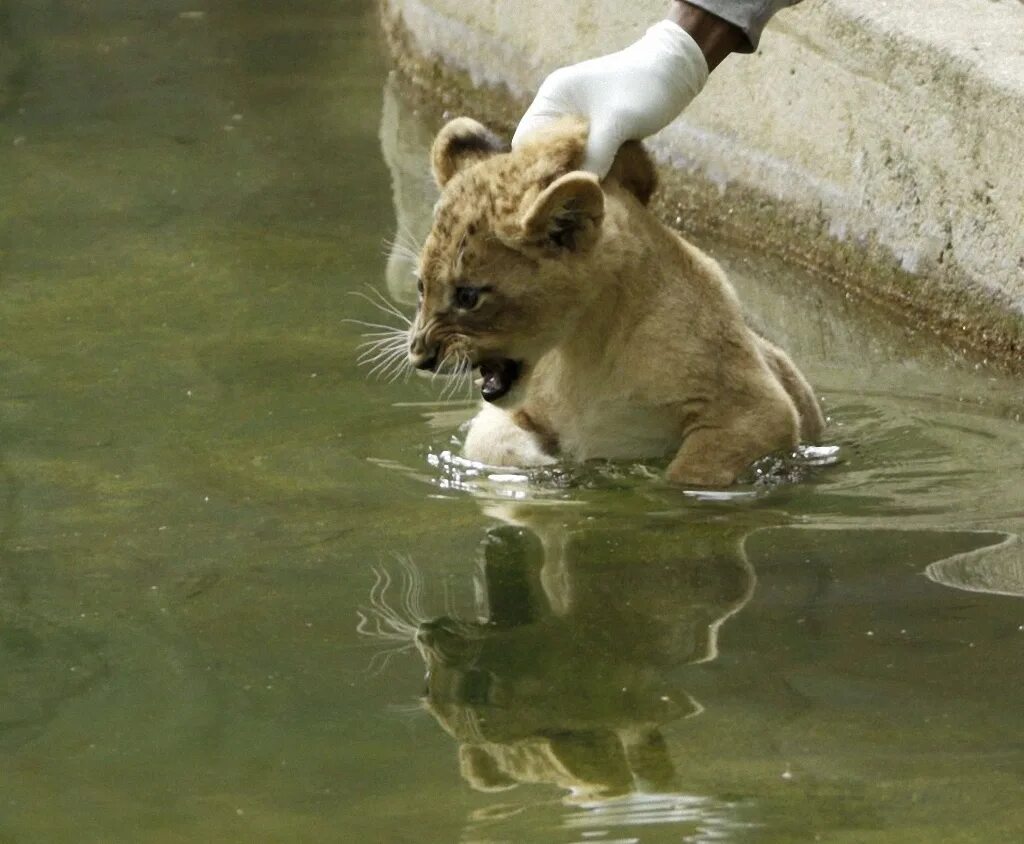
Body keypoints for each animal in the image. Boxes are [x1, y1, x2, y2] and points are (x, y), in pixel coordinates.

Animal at [407, 117, 825, 486]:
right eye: (421, 287)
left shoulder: (758, 410)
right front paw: (548, 471)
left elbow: (690, 475)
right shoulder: (513, 412)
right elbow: (487, 441)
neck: (582, 349)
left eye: (467, 296)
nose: (420, 356)